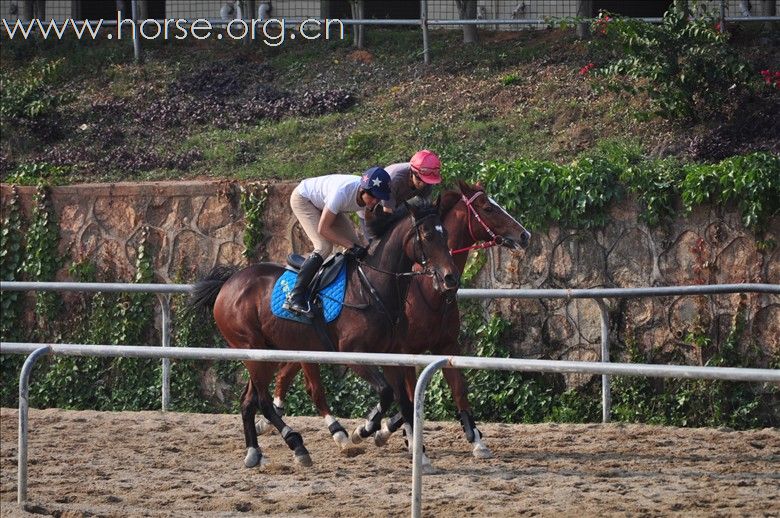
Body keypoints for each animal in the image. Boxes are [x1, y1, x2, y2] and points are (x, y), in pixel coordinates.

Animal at [189, 197, 458, 470]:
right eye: (427, 235)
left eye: (446, 234)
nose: (451, 277)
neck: (371, 287)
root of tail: (228, 283)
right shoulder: (352, 354)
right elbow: (385, 393)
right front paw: (363, 429)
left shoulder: (390, 355)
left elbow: (404, 401)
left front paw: (418, 455)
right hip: (251, 349)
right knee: (263, 401)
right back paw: (297, 444)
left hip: (266, 353)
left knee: (248, 400)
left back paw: (254, 451)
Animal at [266, 182, 532, 464]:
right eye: (488, 208)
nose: (524, 235)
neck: (428, 289)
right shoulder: (404, 351)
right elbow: (408, 398)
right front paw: (398, 438)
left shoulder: (446, 346)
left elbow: (456, 390)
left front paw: (477, 440)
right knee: (309, 384)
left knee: (287, 372)